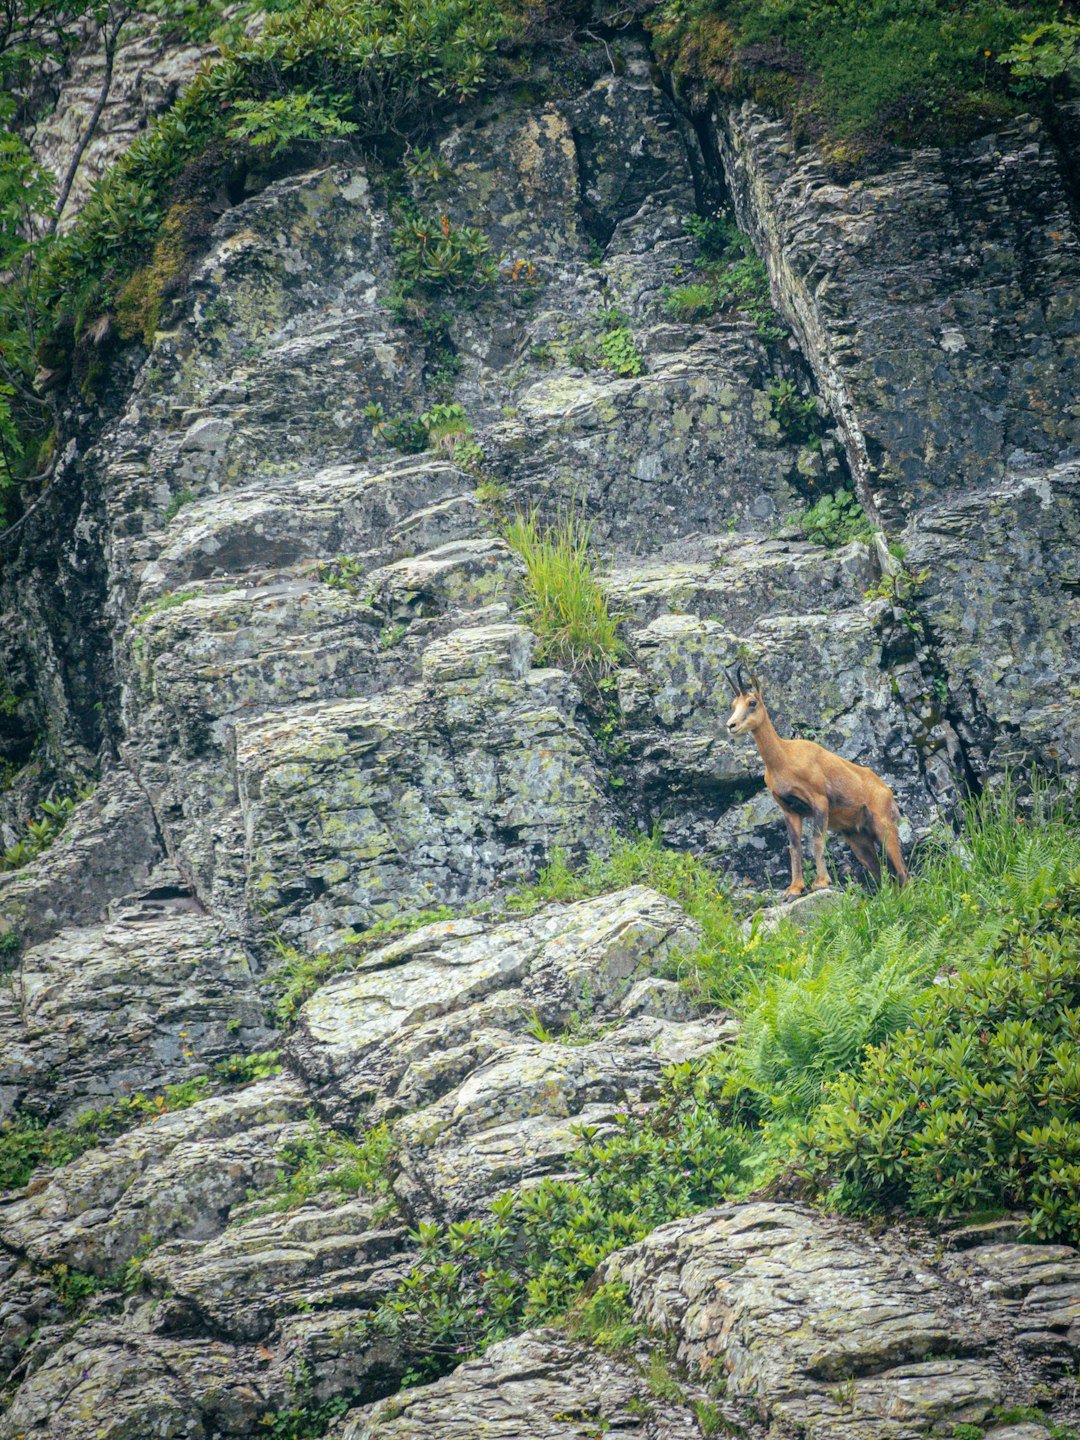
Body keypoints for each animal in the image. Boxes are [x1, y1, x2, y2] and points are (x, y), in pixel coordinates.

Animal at [723, 662, 908, 897]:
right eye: (733, 704)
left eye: (752, 703)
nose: (731, 725)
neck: (784, 759)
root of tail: (888, 792)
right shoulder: (789, 809)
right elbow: (795, 847)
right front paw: (795, 888)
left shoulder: (819, 800)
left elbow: (817, 840)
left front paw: (821, 882)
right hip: (857, 837)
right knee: (883, 873)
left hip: (884, 827)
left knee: (903, 872)